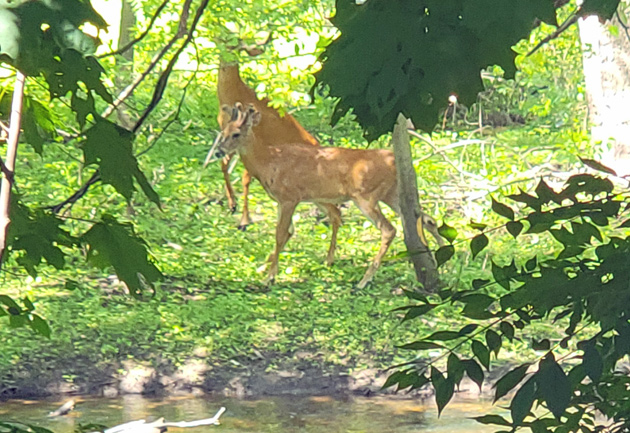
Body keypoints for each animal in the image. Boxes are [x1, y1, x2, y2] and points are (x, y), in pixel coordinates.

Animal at [214, 103, 444, 288]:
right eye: (222, 131)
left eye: (236, 134)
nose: (218, 151)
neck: (269, 162)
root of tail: (393, 161)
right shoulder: (281, 200)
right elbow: (287, 232)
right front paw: (264, 268)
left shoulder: (290, 197)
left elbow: (280, 234)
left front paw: (269, 277)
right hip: (392, 194)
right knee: (426, 219)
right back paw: (443, 259)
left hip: (366, 196)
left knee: (389, 229)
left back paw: (363, 281)